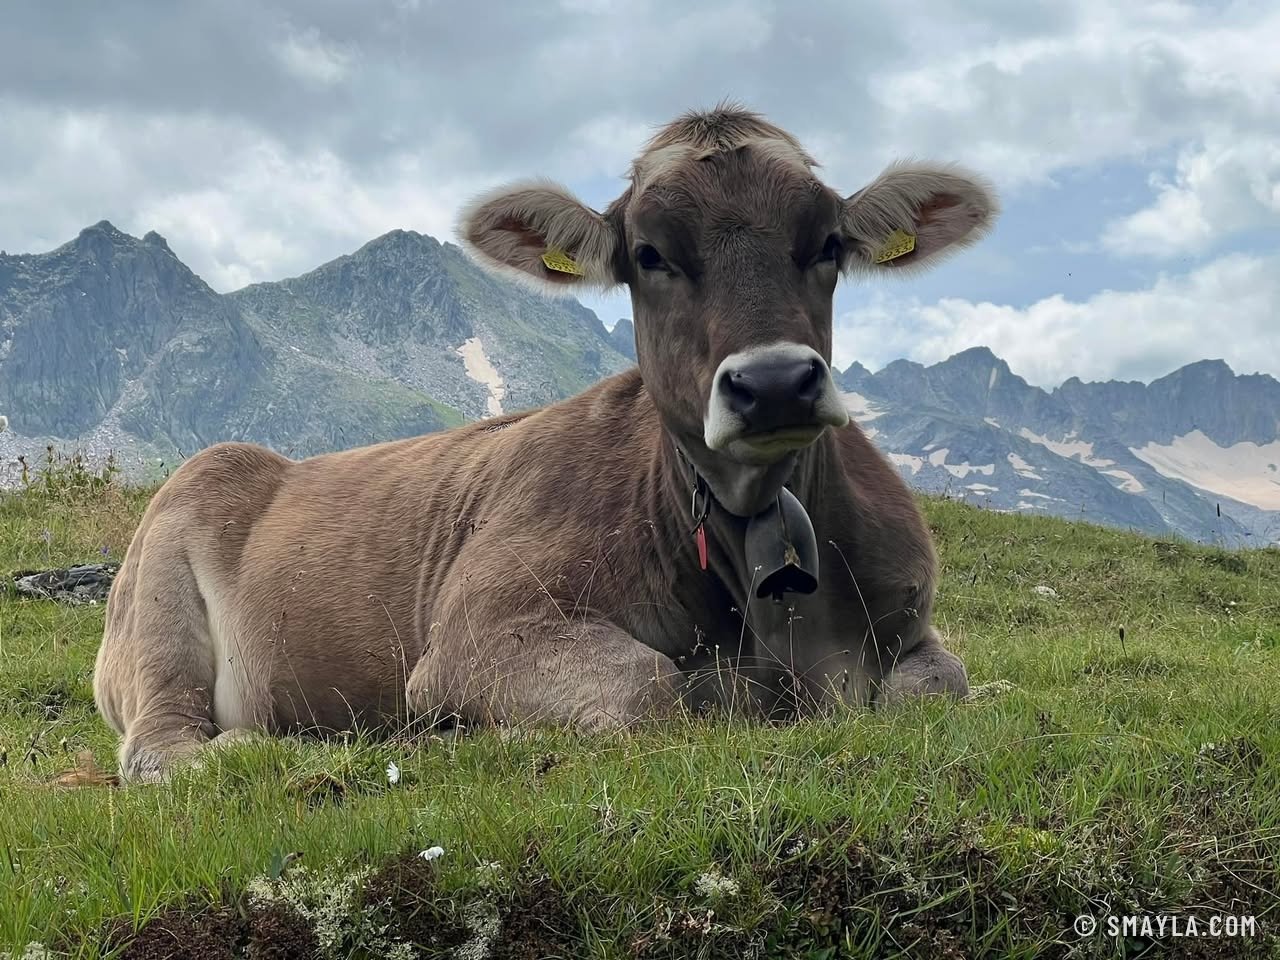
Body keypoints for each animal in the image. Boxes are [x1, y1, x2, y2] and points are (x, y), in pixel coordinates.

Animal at [93, 105, 998, 782]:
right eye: (649, 254)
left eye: (828, 244)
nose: (774, 382)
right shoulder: (472, 634)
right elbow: (650, 692)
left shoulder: (909, 626)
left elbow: (940, 685)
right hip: (167, 587)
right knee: (161, 748)